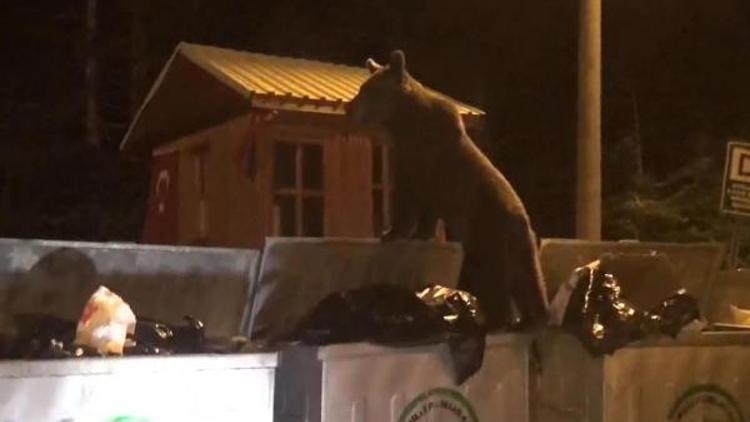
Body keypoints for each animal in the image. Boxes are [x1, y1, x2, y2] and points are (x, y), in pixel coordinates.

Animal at [348, 50, 552, 330]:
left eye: (369, 89)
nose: (350, 108)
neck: (404, 122)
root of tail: (524, 225)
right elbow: (427, 208)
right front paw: (418, 234)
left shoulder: (421, 161)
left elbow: (408, 199)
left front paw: (391, 232)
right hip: (519, 252)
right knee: (527, 284)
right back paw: (530, 319)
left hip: (490, 238)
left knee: (495, 284)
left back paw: (495, 321)